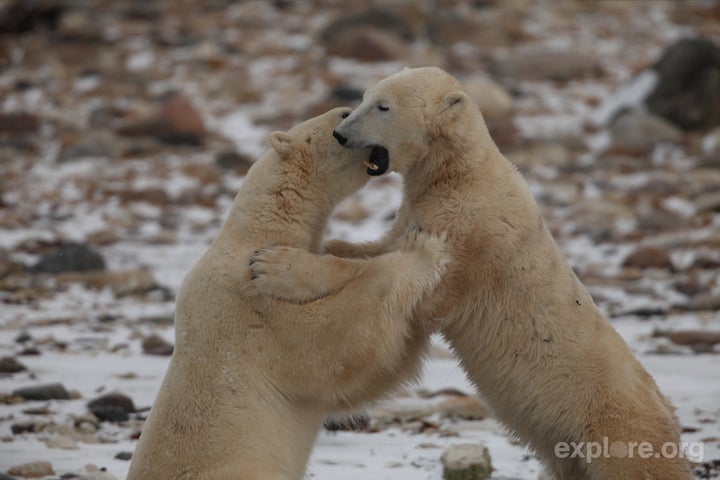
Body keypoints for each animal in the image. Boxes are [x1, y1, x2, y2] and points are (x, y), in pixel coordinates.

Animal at [126, 108, 448, 480]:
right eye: (342, 114)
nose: (345, 109)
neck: (260, 228)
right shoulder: (253, 308)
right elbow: (330, 345)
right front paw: (421, 249)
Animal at [258, 68, 692, 480]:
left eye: (383, 106)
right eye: (365, 97)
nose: (341, 134)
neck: (462, 172)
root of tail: (669, 417)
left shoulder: (470, 238)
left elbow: (416, 284)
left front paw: (273, 265)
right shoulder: (421, 210)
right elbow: (381, 249)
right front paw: (323, 245)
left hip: (617, 433)